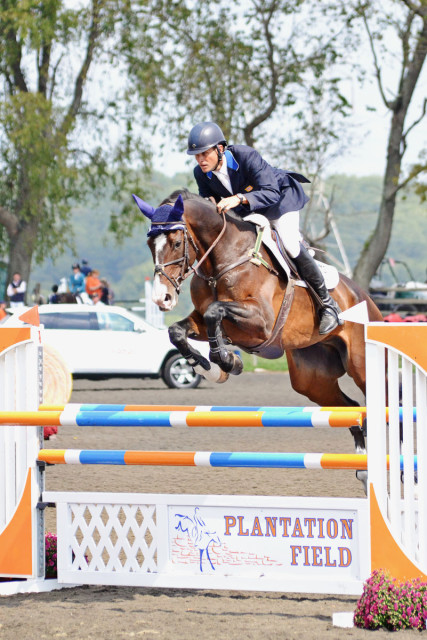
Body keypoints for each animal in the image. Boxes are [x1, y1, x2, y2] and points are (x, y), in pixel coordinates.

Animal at [134, 188, 384, 462]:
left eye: (177, 243)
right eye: (149, 245)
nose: (162, 298)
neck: (223, 260)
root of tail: (367, 299)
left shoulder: (261, 322)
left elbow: (215, 311)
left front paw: (227, 361)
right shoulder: (204, 320)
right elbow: (178, 331)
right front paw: (211, 368)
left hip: (361, 366)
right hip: (312, 379)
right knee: (351, 409)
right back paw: (361, 457)